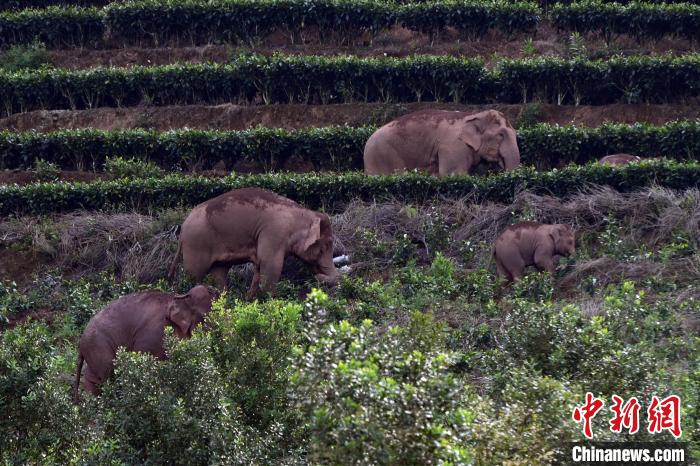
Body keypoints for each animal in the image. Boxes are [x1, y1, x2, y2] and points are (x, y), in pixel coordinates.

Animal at [73, 284, 216, 400]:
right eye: (206, 316)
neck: (179, 297)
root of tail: (81, 340)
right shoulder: (156, 333)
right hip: (99, 346)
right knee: (107, 375)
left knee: (93, 379)